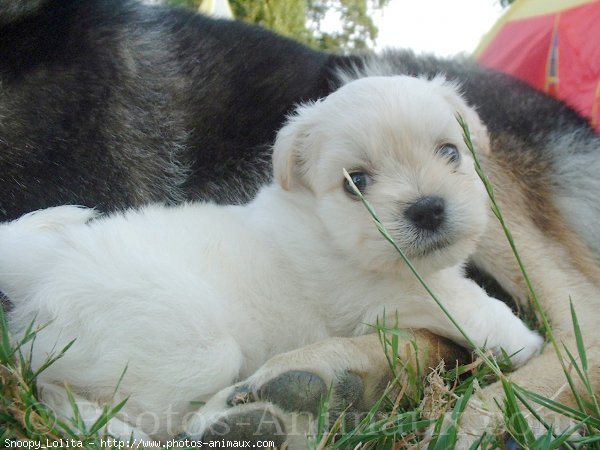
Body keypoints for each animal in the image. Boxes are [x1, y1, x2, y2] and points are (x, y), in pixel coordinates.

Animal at [3, 0, 600, 446]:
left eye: (451, 152)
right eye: (356, 181)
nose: (428, 209)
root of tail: (43, 269)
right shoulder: (390, 286)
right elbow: (465, 306)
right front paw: (515, 341)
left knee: (578, 312)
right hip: (190, 348)